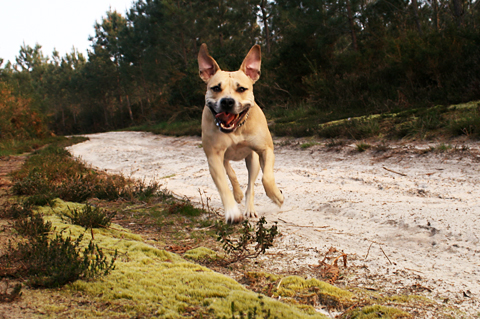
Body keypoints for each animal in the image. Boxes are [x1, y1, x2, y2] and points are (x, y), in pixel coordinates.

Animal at [197, 43, 284, 224]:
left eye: (242, 89)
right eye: (216, 88)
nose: (227, 101)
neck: (236, 128)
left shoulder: (265, 150)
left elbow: (267, 178)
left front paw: (277, 196)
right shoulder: (214, 157)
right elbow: (224, 185)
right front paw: (232, 212)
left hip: (253, 160)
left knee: (251, 185)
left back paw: (250, 208)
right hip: (224, 158)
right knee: (230, 172)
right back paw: (237, 194)